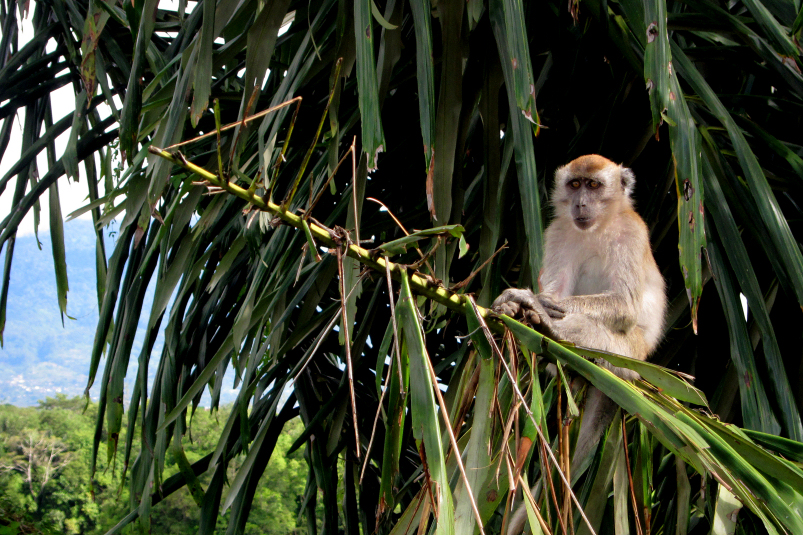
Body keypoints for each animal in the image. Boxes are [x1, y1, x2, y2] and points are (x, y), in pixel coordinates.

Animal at [493, 154, 666, 534]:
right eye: (574, 185)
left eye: (594, 185)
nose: (580, 203)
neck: (598, 228)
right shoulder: (558, 232)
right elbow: (558, 287)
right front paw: (519, 305)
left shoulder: (631, 232)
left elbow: (623, 305)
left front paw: (534, 303)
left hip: (630, 357)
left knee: (595, 331)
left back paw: (550, 327)